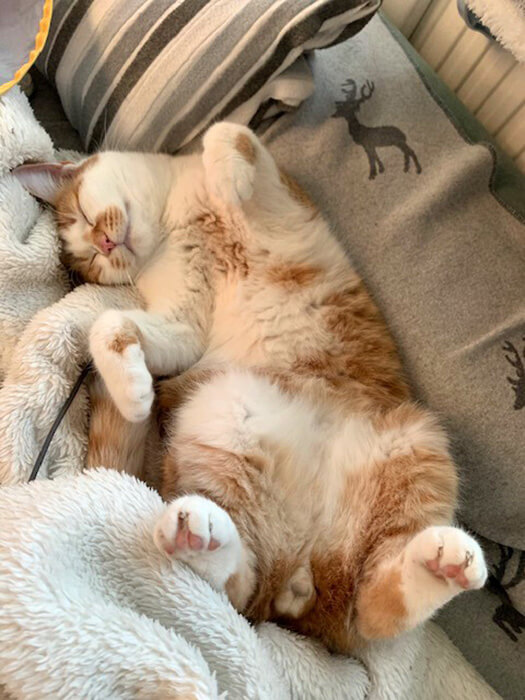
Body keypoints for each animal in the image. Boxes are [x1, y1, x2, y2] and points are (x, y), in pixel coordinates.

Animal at [14, 122, 487, 653]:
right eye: (92, 259)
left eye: (82, 213)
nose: (107, 244)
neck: (173, 221)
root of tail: (305, 574)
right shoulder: (184, 326)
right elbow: (109, 323)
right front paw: (133, 392)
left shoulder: (285, 203)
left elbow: (226, 134)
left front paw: (229, 180)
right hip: (223, 407)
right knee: (252, 595)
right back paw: (199, 536)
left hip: (416, 442)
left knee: (364, 607)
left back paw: (440, 564)